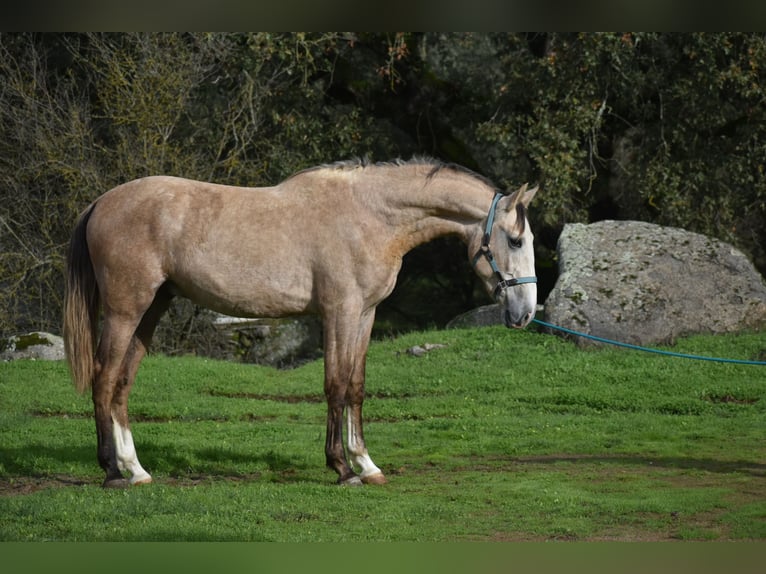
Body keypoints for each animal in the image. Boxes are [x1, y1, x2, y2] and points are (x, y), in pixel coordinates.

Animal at [63, 159, 536, 490]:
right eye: (515, 240)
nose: (526, 313)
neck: (371, 217)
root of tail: (102, 202)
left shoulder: (365, 314)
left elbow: (356, 387)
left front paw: (367, 464)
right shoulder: (339, 312)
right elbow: (336, 386)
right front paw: (342, 468)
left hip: (151, 310)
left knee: (122, 385)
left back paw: (136, 470)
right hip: (126, 310)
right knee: (104, 380)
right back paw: (111, 472)